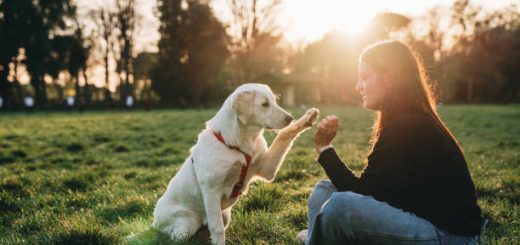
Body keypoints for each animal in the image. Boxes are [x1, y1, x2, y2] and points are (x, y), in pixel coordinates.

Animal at [152, 83, 318, 244]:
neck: (238, 143)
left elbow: (284, 134)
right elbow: (217, 228)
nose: (290, 118)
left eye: (275, 101)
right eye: (264, 104)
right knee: (173, 239)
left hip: (225, 215)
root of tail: (153, 222)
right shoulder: (211, 190)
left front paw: (307, 119)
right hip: (187, 222)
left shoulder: (266, 169)